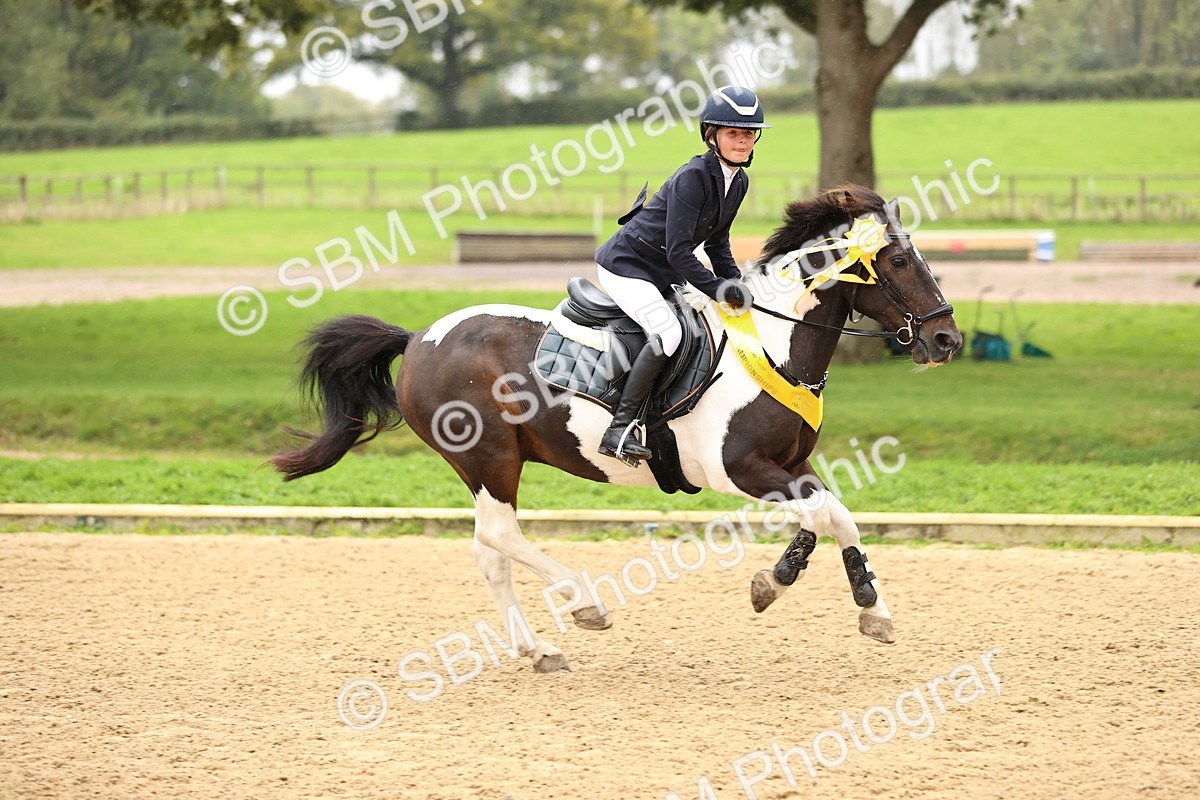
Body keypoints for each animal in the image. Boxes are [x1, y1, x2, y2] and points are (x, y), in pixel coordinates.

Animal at [270, 184, 962, 673]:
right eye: (900, 261)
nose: (946, 340)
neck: (775, 342)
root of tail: (418, 337)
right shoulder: (740, 470)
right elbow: (829, 514)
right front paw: (840, 600)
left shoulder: (790, 466)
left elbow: (829, 515)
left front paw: (797, 587)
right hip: (490, 457)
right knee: (501, 534)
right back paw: (585, 604)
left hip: (487, 466)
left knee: (489, 551)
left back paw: (539, 651)